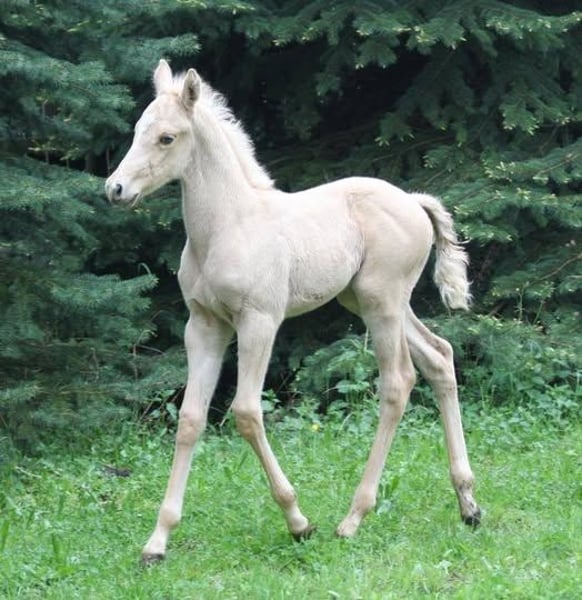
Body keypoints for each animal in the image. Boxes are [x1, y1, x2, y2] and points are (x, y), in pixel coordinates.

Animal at [105, 59, 481, 564]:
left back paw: (353, 518)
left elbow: (246, 412)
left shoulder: (259, 320)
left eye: (167, 137)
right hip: (372, 300)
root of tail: (414, 201)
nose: (115, 188)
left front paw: (298, 521)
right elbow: (189, 419)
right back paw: (468, 504)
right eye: (137, 130)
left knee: (398, 381)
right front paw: (158, 541)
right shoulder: (203, 326)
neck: (226, 227)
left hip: (381, 301)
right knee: (440, 357)